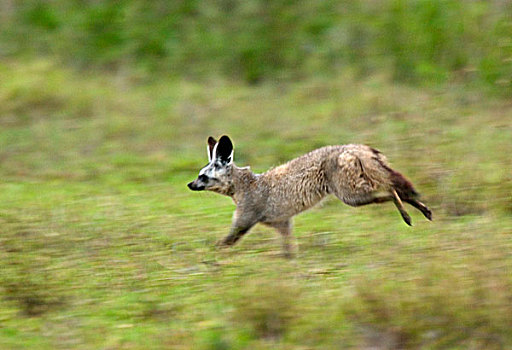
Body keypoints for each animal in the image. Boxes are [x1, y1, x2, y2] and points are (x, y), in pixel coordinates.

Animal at [188, 135, 432, 258]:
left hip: (352, 196)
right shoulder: (282, 223)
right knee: (398, 189)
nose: (189, 184)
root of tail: (353, 146)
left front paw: (208, 258)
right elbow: (289, 251)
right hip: (359, 190)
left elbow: (222, 244)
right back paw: (423, 210)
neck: (245, 184)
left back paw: (407, 216)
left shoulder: (243, 222)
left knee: (391, 190)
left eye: (203, 177)